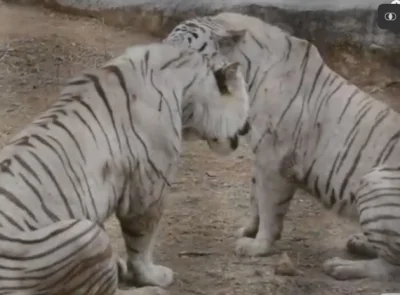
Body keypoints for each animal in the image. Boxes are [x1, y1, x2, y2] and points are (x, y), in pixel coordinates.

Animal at [0, 41, 250, 294]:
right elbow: (141, 243)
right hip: (87, 237)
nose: (248, 127)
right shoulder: (147, 193)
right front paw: (152, 276)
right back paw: (150, 289)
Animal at [166, 12, 400, 282]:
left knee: (391, 266)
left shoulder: (273, 159)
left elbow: (268, 206)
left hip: (374, 182)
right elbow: (254, 198)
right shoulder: (260, 156)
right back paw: (359, 243)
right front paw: (248, 230)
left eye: (184, 55)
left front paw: (258, 246)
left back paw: (341, 266)